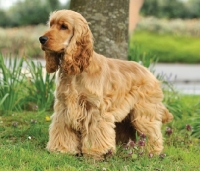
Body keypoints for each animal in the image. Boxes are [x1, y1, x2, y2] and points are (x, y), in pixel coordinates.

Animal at [39, 10, 173, 158]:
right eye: (51, 25)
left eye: (64, 26)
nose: (41, 39)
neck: (76, 72)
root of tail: (149, 73)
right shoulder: (64, 107)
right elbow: (62, 129)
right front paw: (61, 149)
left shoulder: (95, 109)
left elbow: (96, 132)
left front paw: (96, 151)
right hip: (126, 117)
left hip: (143, 113)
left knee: (153, 133)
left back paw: (152, 151)